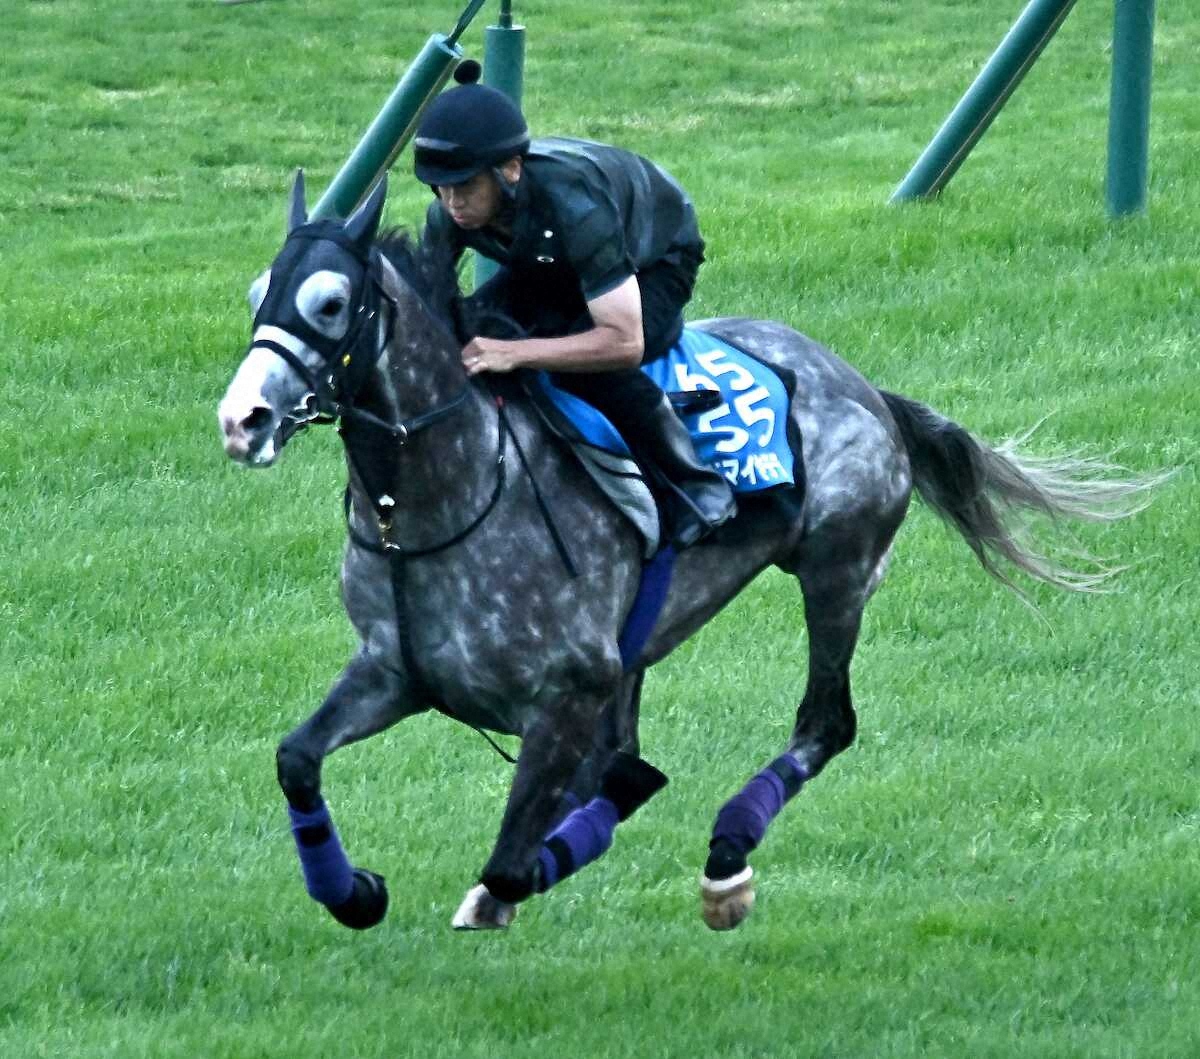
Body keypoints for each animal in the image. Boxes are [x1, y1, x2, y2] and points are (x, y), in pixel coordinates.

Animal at [217, 174, 1160, 931]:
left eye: (331, 303)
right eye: (259, 289)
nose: (241, 420)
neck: (438, 500)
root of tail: (861, 384)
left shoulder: (568, 691)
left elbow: (513, 861)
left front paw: (498, 888)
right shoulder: (396, 670)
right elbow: (297, 758)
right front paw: (353, 890)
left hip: (837, 570)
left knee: (824, 724)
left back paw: (727, 863)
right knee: (638, 759)